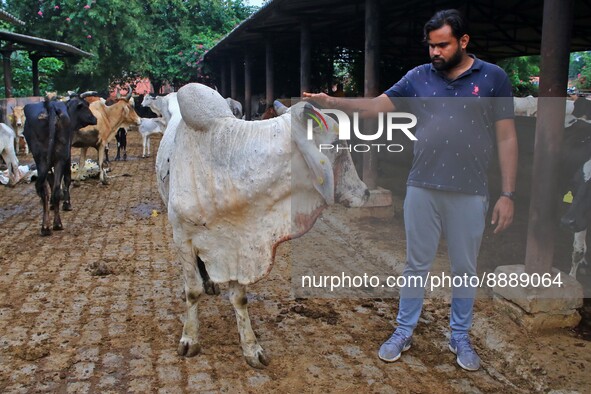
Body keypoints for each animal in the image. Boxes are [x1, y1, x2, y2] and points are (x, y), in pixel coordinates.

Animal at [157, 83, 370, 370]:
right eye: (337, 144)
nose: (366, 192)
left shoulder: (239, 243)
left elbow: (239, 299)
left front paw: (251, 347)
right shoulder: (183, 238)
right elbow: (193, 291)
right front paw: (190, 338)